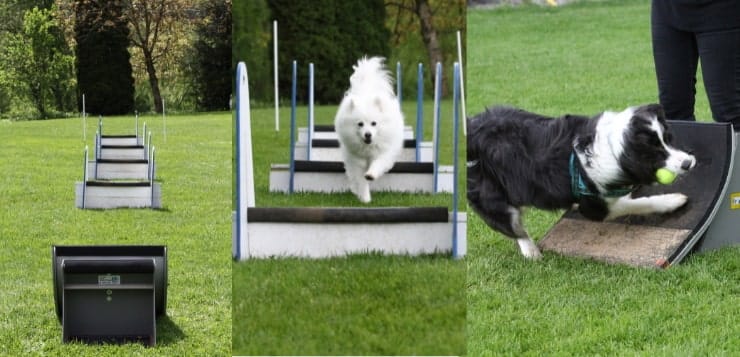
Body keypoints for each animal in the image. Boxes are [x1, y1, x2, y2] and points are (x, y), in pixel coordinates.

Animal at [336, 55, 404, 200]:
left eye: (374, 123)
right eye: (360, 124)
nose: (368, 134)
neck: (368, 148)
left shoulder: (383, 152)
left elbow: (377, 164)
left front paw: (371, 175)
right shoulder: (355, 161)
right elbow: (360, 181)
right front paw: (365, 198)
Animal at [472, 104, 696, 258]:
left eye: (668, 139)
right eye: (656, 152)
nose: (688, 163)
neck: (614, 148)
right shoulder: (594, 206)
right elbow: (636, 204)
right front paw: (672, 200)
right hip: (491, 196)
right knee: (512, 225)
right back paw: (532, 252)